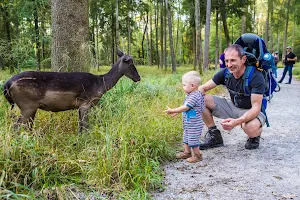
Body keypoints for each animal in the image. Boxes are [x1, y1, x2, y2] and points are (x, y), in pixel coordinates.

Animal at [2, 49, 141, 132]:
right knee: (15, 127)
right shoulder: (85, 103)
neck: (100, 84)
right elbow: (86, 127)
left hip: (30, 108)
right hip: (27, 105)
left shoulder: (79, 106)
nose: (138, 77)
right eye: (130, 63)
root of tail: (7, 85)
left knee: (26, 126)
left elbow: (80, 127)